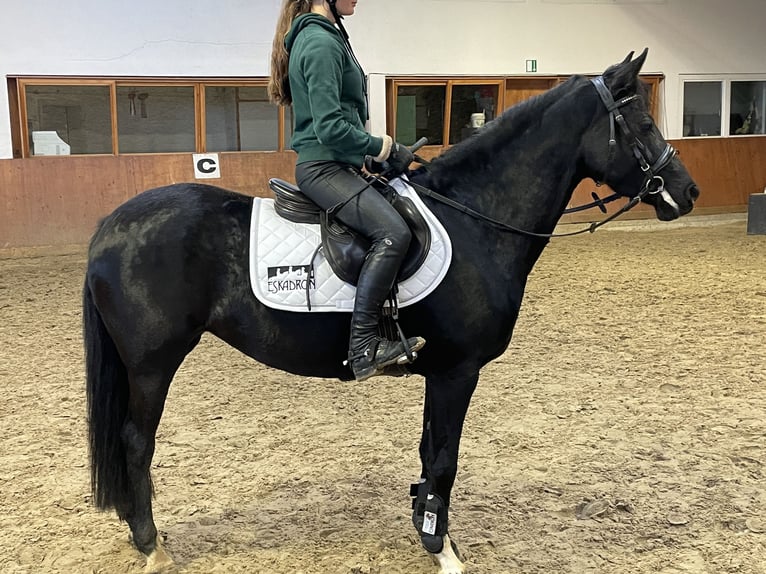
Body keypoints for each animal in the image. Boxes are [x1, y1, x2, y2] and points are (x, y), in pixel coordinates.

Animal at [84, 51, 704, 572]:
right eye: (641, 123)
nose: (688, 191)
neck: (476, 218)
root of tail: (112, 225)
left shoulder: (442, 372)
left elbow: (431, 453)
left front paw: (427, 526)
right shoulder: (458, 371)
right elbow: (446, 458)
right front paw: (441, 547)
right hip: (152, 363)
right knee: (136, 442)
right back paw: (151, 545)